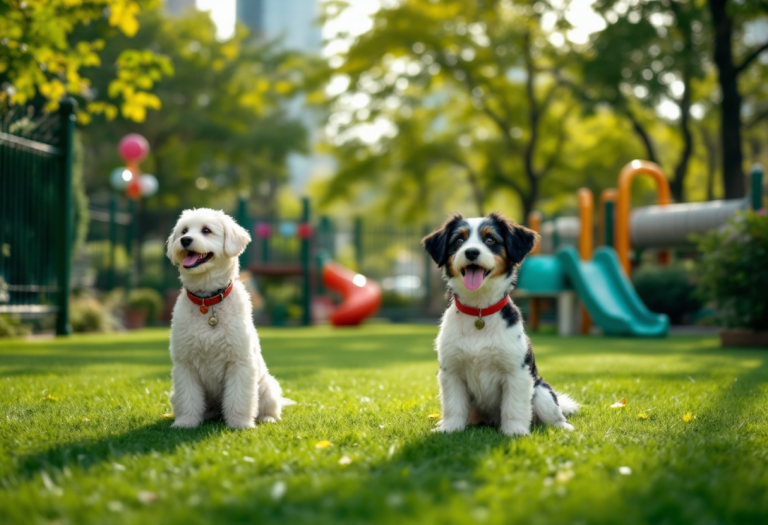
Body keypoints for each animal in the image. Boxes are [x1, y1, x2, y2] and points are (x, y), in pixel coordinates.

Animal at [166, 207, 290, 428]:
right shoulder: (185, 364)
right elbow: (188, 398)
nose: (185, 240)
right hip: (175, 394)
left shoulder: (239, 362)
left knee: (271, 408)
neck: (208, 302)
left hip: (268, 387)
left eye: (206, 230)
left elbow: (239, 398)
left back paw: (267, 418)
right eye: (184, 230)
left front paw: (240, 424)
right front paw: (185, 423)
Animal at [424, 211, 580, 436]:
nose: (471, 252)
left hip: (541, 391)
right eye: (459, 240)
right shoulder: (451, 372)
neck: (479, 312)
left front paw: (515, 432)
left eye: (490, 239)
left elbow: (514, 406)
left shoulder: (517, 372)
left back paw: (563, 427)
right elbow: (453, 405)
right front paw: (449, 429)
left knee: (554, 413)